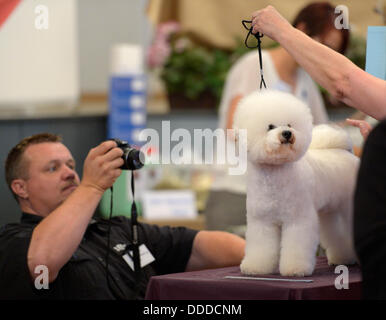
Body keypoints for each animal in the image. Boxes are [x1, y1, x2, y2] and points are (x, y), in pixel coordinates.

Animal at [234, 90, 360, 278]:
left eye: (289, 124)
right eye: (270, 126)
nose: (287, 133)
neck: (275, 176)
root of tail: (346, 153)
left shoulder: (298, 219)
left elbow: (296, 245)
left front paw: (295, 269)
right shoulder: (262, 222)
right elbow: (261, 247)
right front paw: (256, 267)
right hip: (331, 211)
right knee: (337, 235)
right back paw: (343, 258)